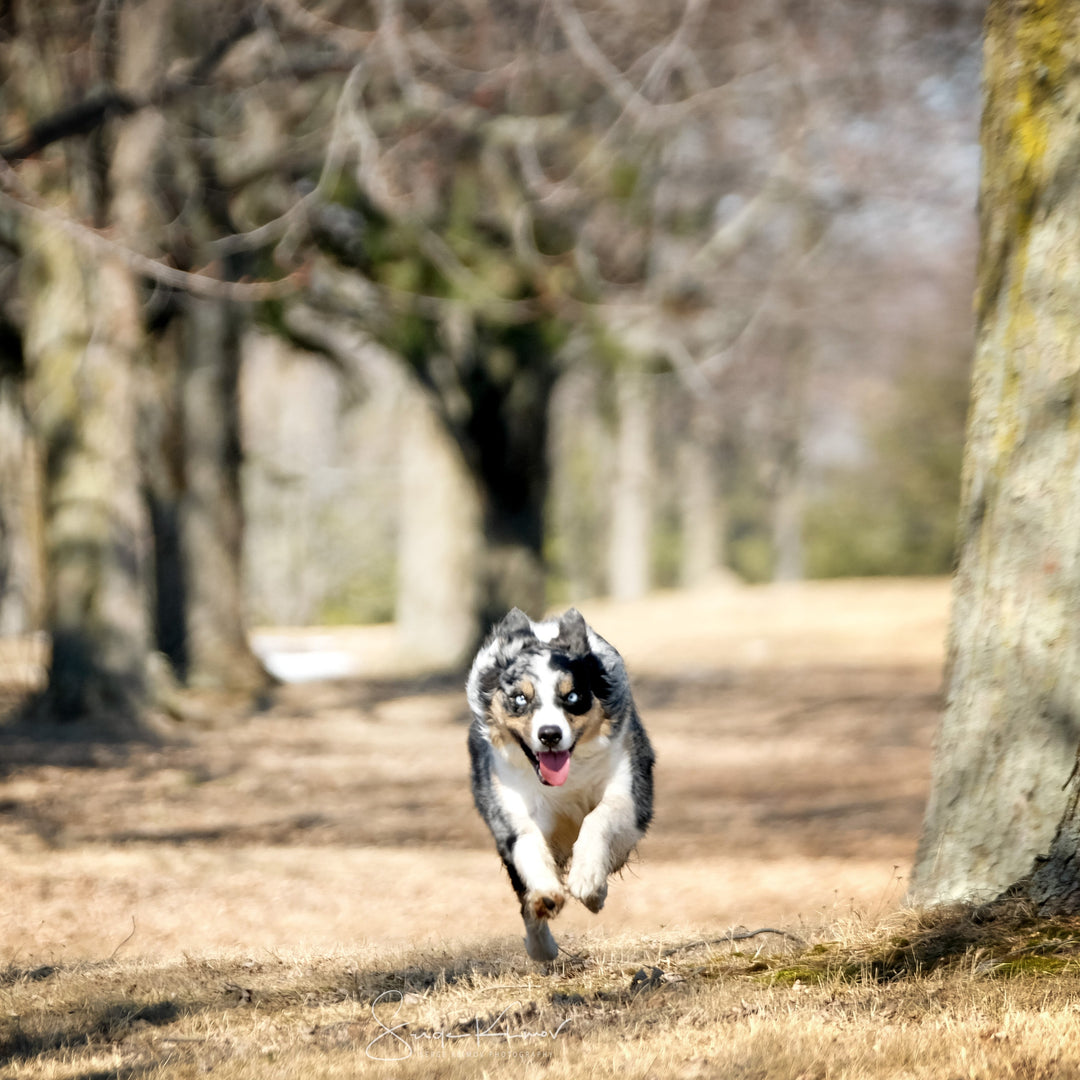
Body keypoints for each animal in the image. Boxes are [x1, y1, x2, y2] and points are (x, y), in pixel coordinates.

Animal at [462, 609, 648, 963]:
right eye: (520, 698)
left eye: (572, 696)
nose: (550, 734)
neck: (565, 779)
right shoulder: (508, 804)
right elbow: (528, 843)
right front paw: (547, 896)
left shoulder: (630, 794)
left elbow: (598, 818)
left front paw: (588, 880)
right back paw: (542, 945)